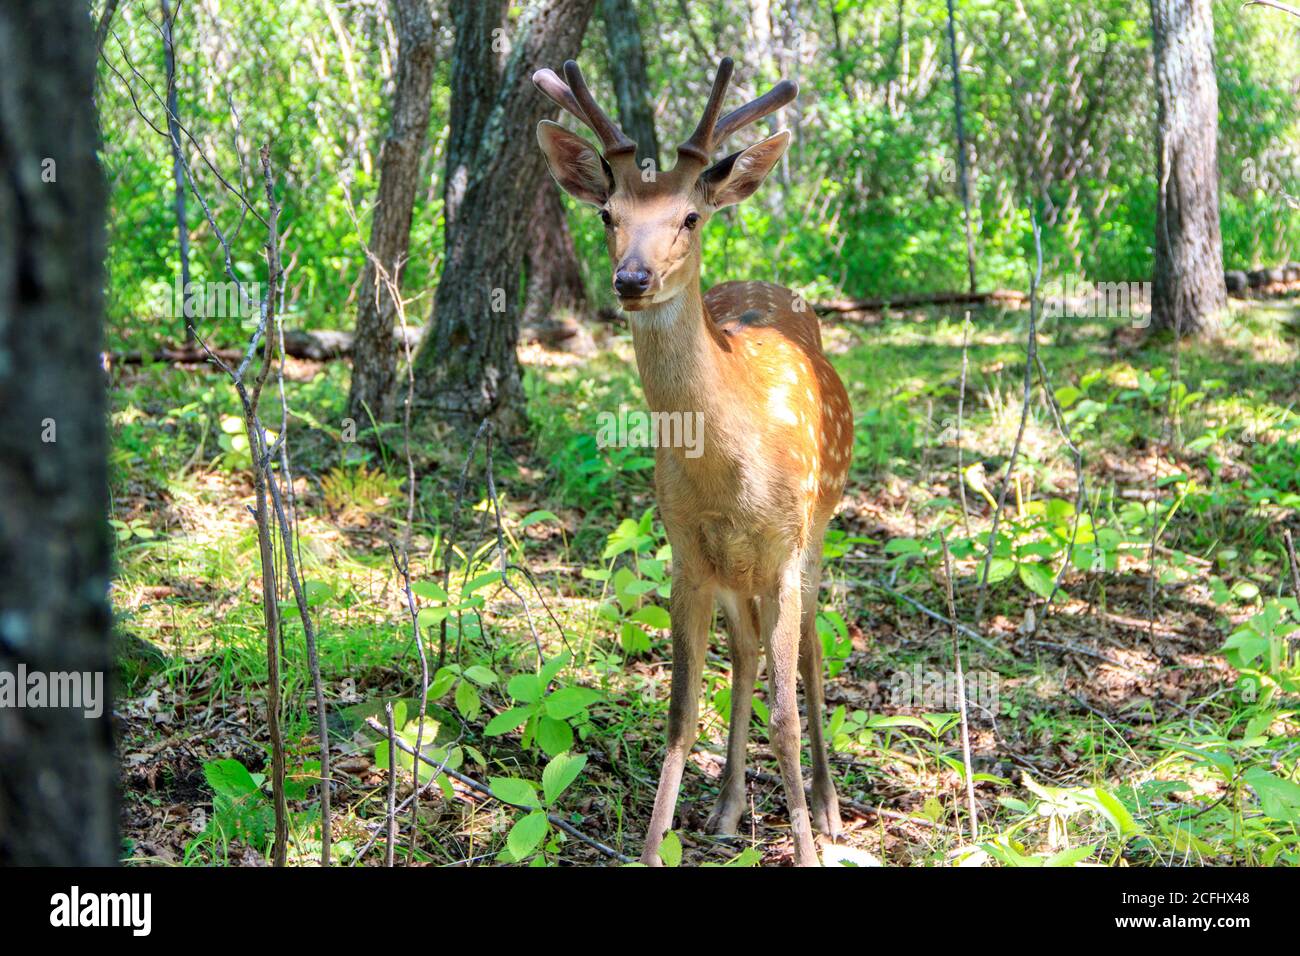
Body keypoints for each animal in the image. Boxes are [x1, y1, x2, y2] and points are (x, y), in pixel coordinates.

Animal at [530, 57, 852, 868]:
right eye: (607, 215)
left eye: (690, 217)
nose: (632, 279)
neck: (726, 476)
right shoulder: (685, 555)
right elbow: (679, 714)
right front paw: (656, 846)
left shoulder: (782, 549)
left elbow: (786, 714)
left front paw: (806, 848)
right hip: (738, 572)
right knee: (745, 652)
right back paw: (729, 807)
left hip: (817, 532)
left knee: (811, 653)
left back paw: (829, 808)